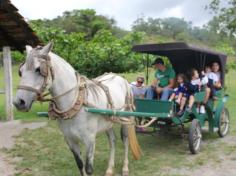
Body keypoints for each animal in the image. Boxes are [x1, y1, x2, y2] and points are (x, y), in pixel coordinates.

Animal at [13, 42, 140, 176]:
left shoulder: (90, 140)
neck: (75, 106)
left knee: (125, 141)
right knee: (112, 140)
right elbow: (80, 165)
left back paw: (125, 168)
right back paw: (110, 169)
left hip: (126, 118)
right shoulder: (70, 140)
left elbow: (89, 169)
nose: (19, 102)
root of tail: (119, 77)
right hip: (109, 121)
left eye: (38, 69)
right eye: (20, 71)